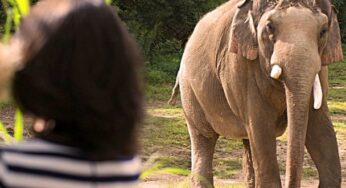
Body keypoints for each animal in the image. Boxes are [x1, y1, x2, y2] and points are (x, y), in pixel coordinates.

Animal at [169, 0, 342, 187]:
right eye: (270, 27)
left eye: (323, 30)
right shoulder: (241, 68)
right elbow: (261, 128)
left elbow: (320, 128)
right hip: (190, 92)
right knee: (203, 139)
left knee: (247, 143)